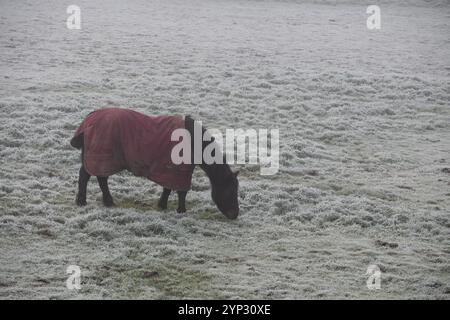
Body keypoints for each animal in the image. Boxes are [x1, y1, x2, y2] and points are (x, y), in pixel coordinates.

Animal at [70, 107, 239, 220]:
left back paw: (107, 202)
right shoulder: (180, 171)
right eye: (231, 190)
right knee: (87, 176)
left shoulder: (170, 169)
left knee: (100, 178)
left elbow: (167, 189)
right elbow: (181, 192)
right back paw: (83, 201)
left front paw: (162, 205)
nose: (235, 214)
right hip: (100, 157)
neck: (194, 142)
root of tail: (88, 121)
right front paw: (182, 210)